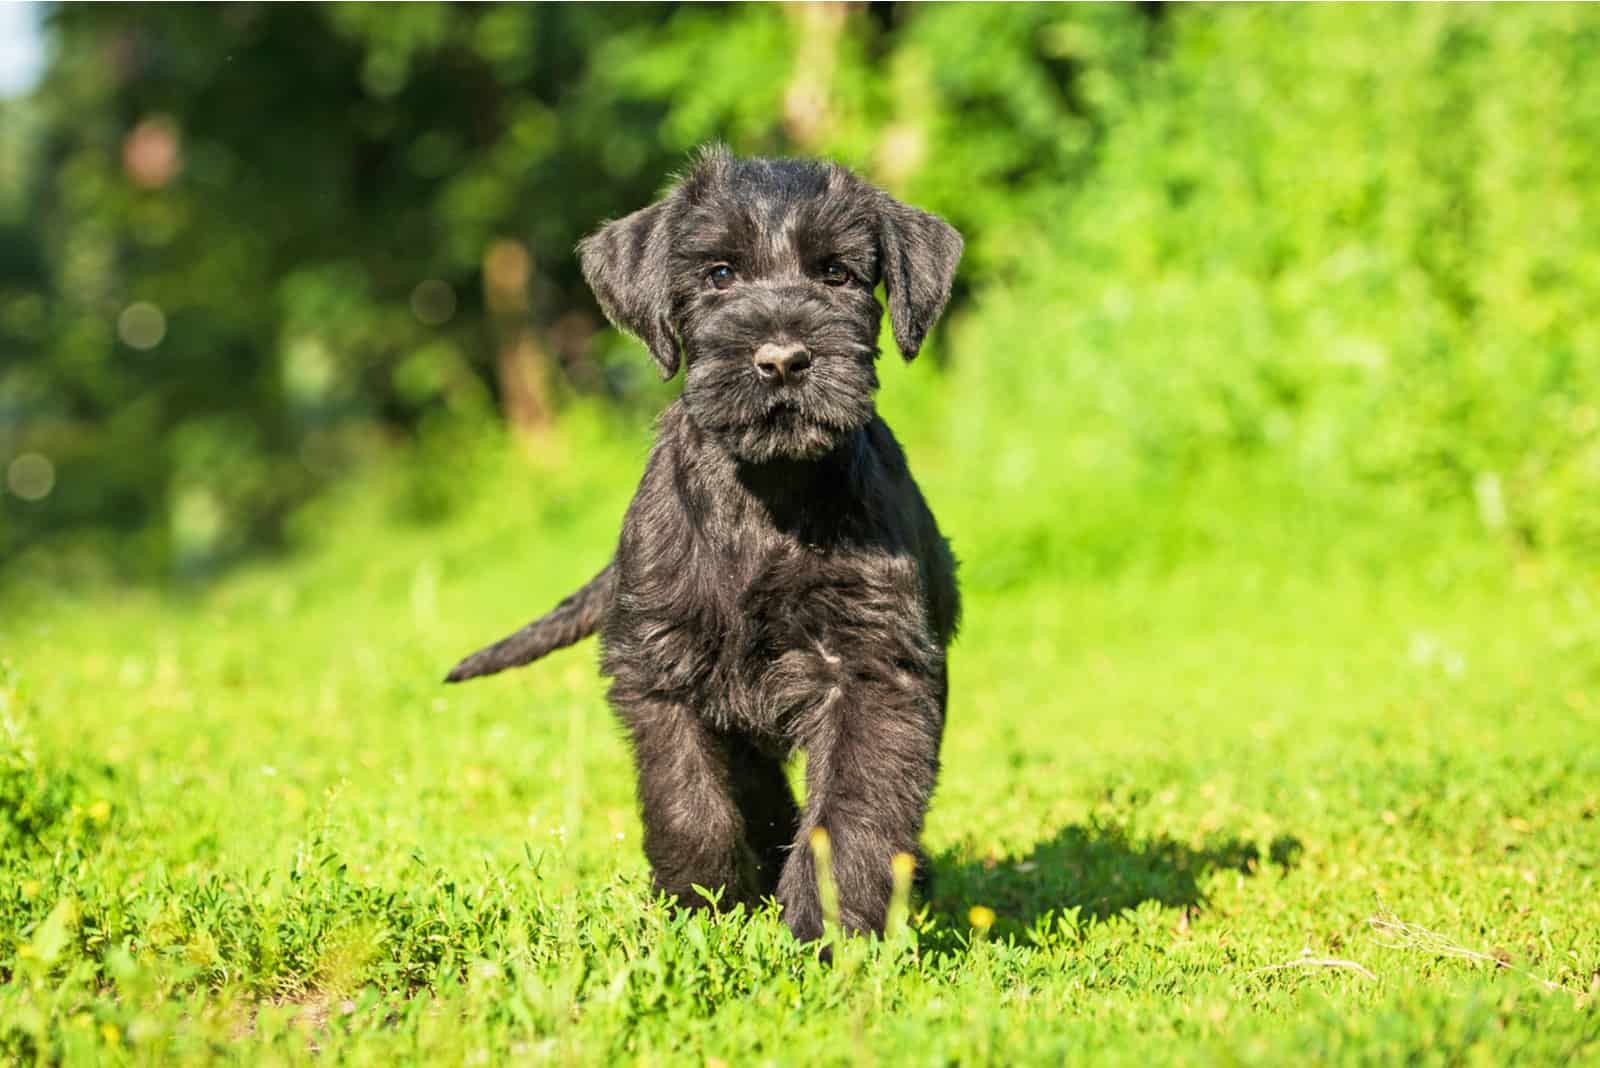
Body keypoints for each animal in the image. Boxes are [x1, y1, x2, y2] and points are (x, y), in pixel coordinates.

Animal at [444, 143, 953, 940]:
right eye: (719, 274)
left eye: (836, 273)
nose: (782, 359)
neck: (767, 497)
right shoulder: (662, 670)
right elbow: (689, 802)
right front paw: (700, 912)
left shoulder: (874, 669)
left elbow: (852, 811)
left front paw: (825, 933)